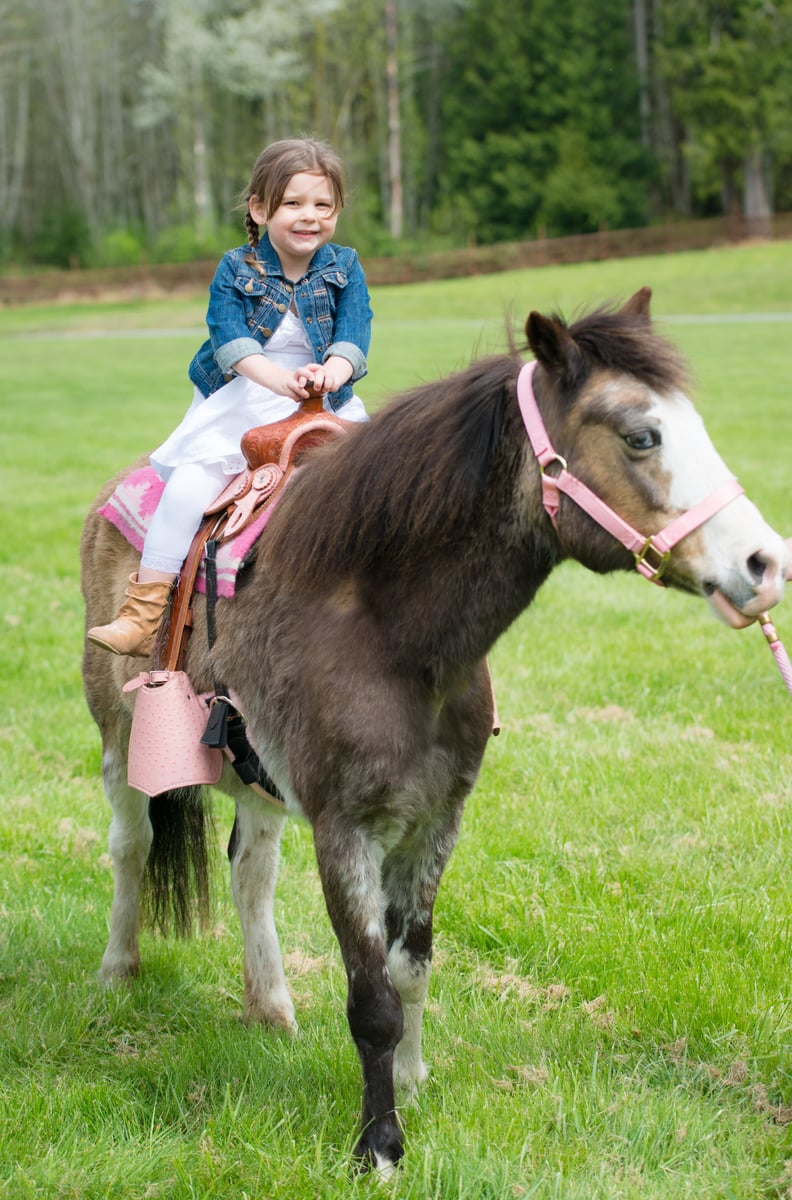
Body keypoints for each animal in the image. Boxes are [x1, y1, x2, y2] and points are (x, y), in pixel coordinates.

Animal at [78, 288, 787, 1171]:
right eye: (640, 436)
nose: (766, 563)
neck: (384, 631)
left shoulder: (435, 822)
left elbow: (411, 966)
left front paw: (412, 1082)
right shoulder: (346, 831)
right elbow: (372, 995)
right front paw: (379, 1143)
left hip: (259, 778)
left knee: (251, 873)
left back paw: (269, 1006)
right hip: (117, 737)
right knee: (131, 845)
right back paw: (118, 969)